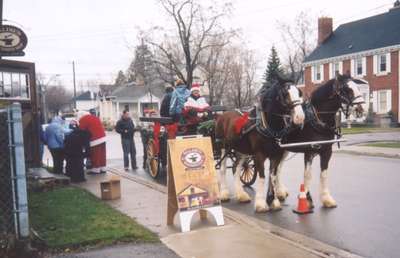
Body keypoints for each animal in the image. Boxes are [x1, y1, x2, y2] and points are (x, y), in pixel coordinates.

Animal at [217, 78, 304, 212]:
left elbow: (273, 175)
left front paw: (274, 201)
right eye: (285, 94)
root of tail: (223, 114)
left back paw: (241, 195)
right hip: (223, 147)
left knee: (236, 168)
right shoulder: (259, 155)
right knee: (222, 169)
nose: (300, 117)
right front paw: (261, 203)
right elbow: (262, 176)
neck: (268, 125)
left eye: (299, 93)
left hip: (241, 150)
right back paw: (224, 194)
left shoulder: (276, 155)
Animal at [274, 73, 364, 209]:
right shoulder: (308, 151)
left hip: (284, 149)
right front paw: (305, 198)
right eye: (347, 89)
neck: (318, 119)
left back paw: (280, 192)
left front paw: (326, 199)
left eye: (357, 87)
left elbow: (324, 174)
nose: (361, 108)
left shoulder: (327, 151)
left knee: (279, 168)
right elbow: (308, 175)